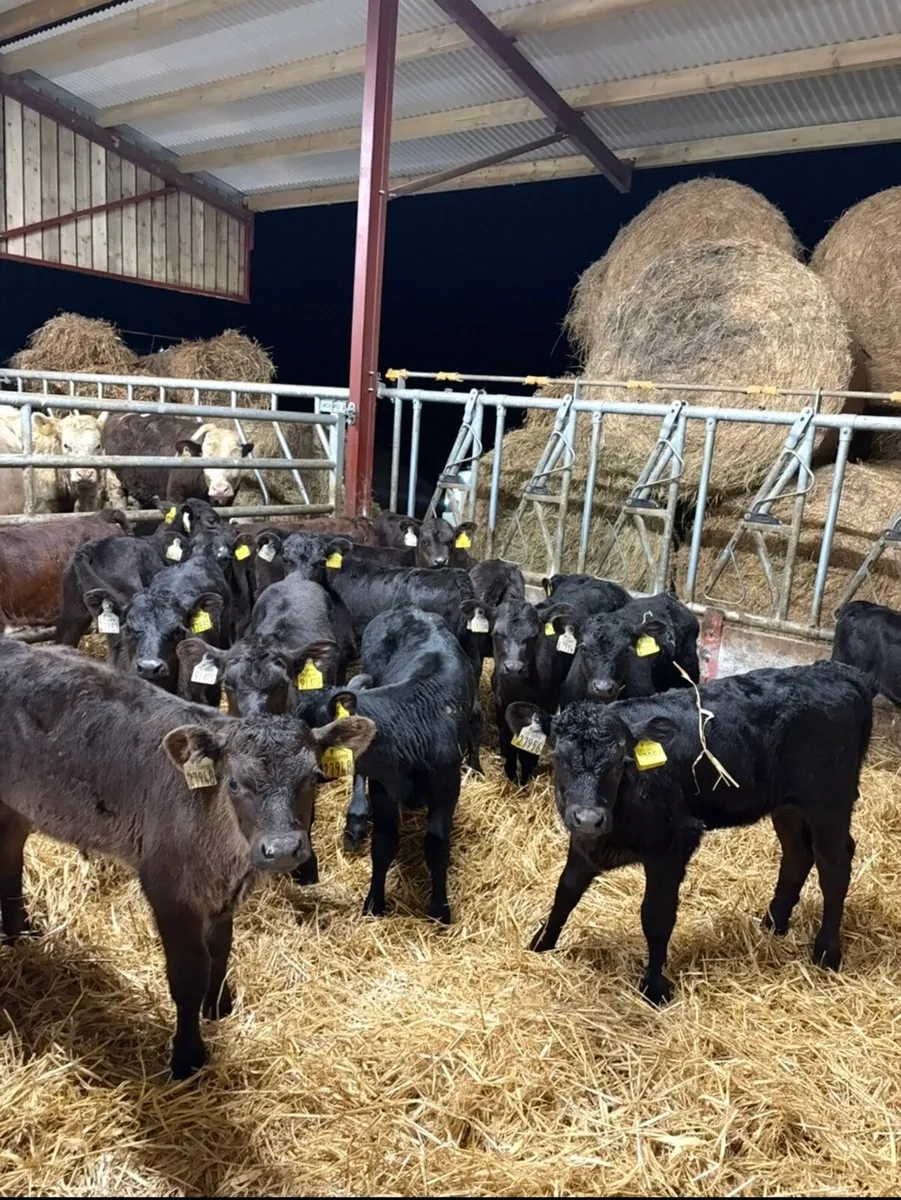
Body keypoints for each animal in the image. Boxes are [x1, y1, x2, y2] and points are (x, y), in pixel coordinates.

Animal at [0, 638, 374, 1078]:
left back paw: (19, 933)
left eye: (314, 777)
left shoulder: (223, 892)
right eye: (234, 783)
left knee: (10, 851)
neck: (224, 849)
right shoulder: (168, 889)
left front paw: (218, 1006)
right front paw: (187, 1056)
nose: (282, 848)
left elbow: (220, 950)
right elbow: (189, 971)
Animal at [293, 606, 476, 924]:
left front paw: (440, 909)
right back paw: (355, 820)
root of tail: (408, 609)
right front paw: (373, 904)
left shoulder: (448, 788)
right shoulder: (382, 789)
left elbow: (437, 844)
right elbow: (383, 843)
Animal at [509, 660, 874, 1005]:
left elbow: (656, 917)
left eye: (619, 760)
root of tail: (834, 672)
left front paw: (654, 988)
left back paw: (826, 952)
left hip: (828, 800)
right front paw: (540, 945)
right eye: (559, 756)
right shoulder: (585, 845)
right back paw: (773, 924)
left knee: (834, 865)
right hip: (787, 806)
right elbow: (564, 893)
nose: (588, 817)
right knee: (797, 855)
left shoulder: (673, 845)